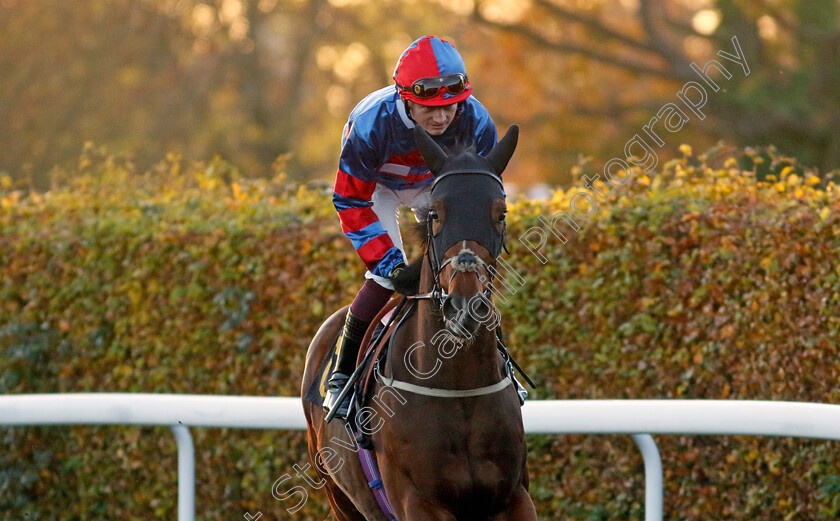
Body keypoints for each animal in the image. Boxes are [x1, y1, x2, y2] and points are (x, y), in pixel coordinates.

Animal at [302, 126, 540, 520]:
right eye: (436, 214)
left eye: (500, 212)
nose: (464, 304)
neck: (459, 387)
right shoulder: (420, 503)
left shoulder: (514, 498)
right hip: (340, 498)